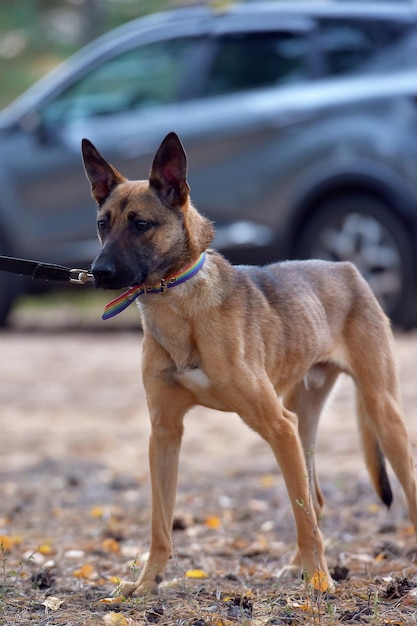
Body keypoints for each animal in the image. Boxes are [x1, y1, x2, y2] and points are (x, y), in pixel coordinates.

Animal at [81, 129, 416, 592]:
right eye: (103, 224)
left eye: (141, 225)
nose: (98, 272)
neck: (179, 305)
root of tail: (347, 267)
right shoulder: (164, 433)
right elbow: (160, 524)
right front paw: (145, 586)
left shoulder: (277, 424)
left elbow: (302, 519)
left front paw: (320, 584)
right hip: (302, 422)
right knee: (315, 499)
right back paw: (296, 566)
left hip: (380, 415)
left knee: (363, 497)